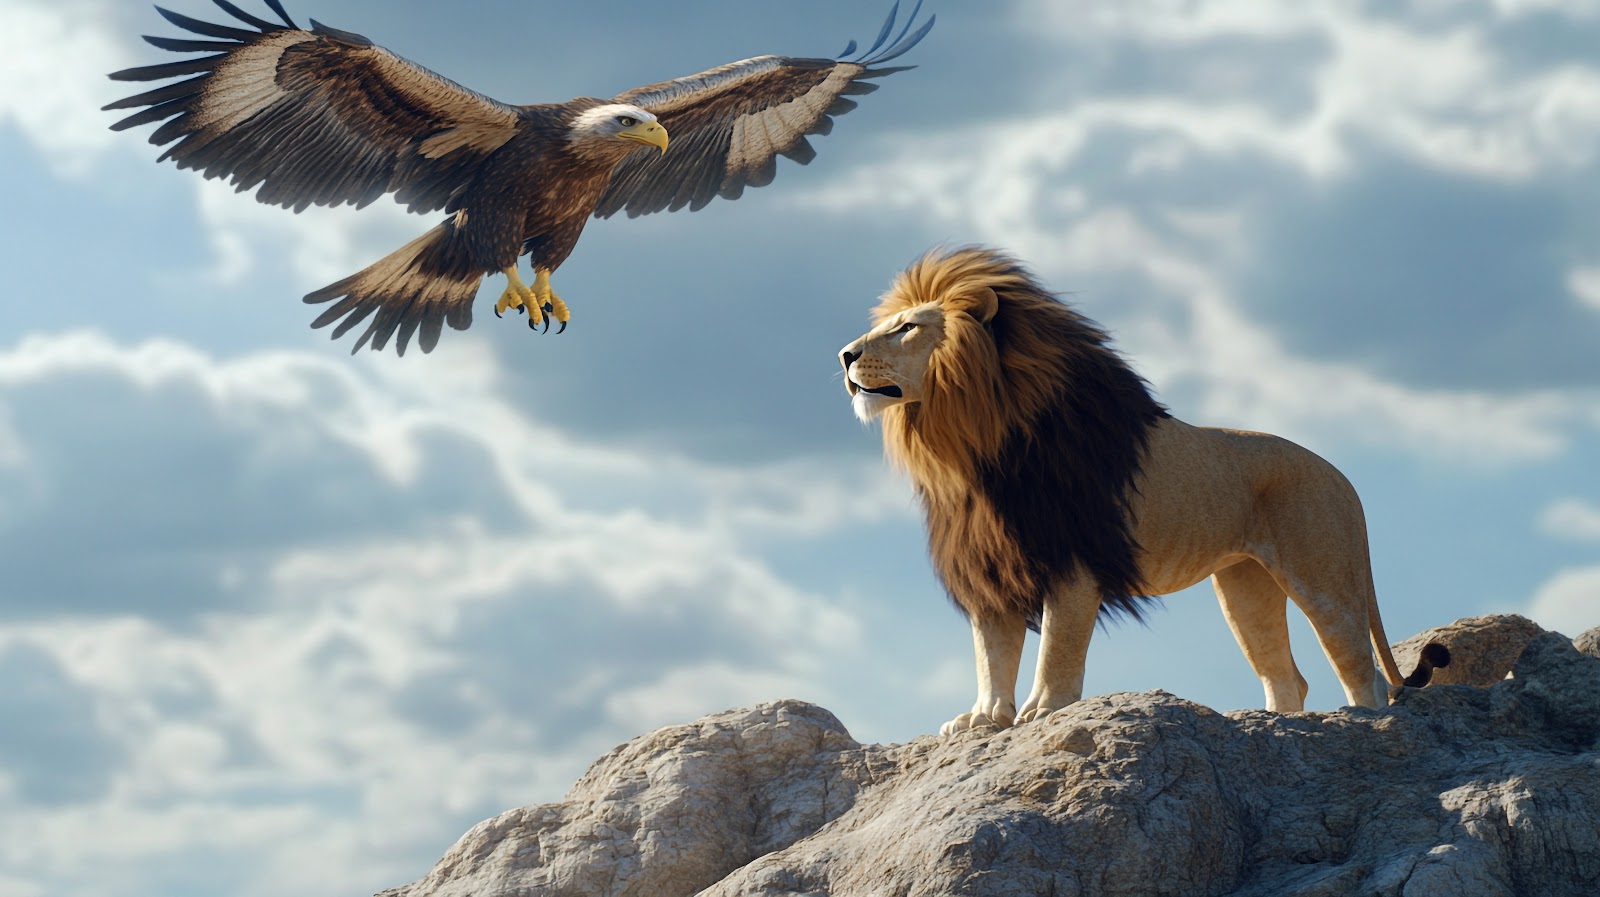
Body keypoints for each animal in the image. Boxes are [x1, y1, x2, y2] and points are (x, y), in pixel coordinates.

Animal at [838, 246, 1447, 734]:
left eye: (907, 328)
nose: (844, 354)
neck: (969, 449)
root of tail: (1343, 479)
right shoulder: (991, 569)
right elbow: (992, 656)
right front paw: (983, 719)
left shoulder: (1074, 563)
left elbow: (1057, 646)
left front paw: (1044, 711)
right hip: (1244, 586)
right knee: (1286, 676)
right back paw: (1273, 729)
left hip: (1322, 575)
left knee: (1360, 666)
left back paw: (1361, 724)